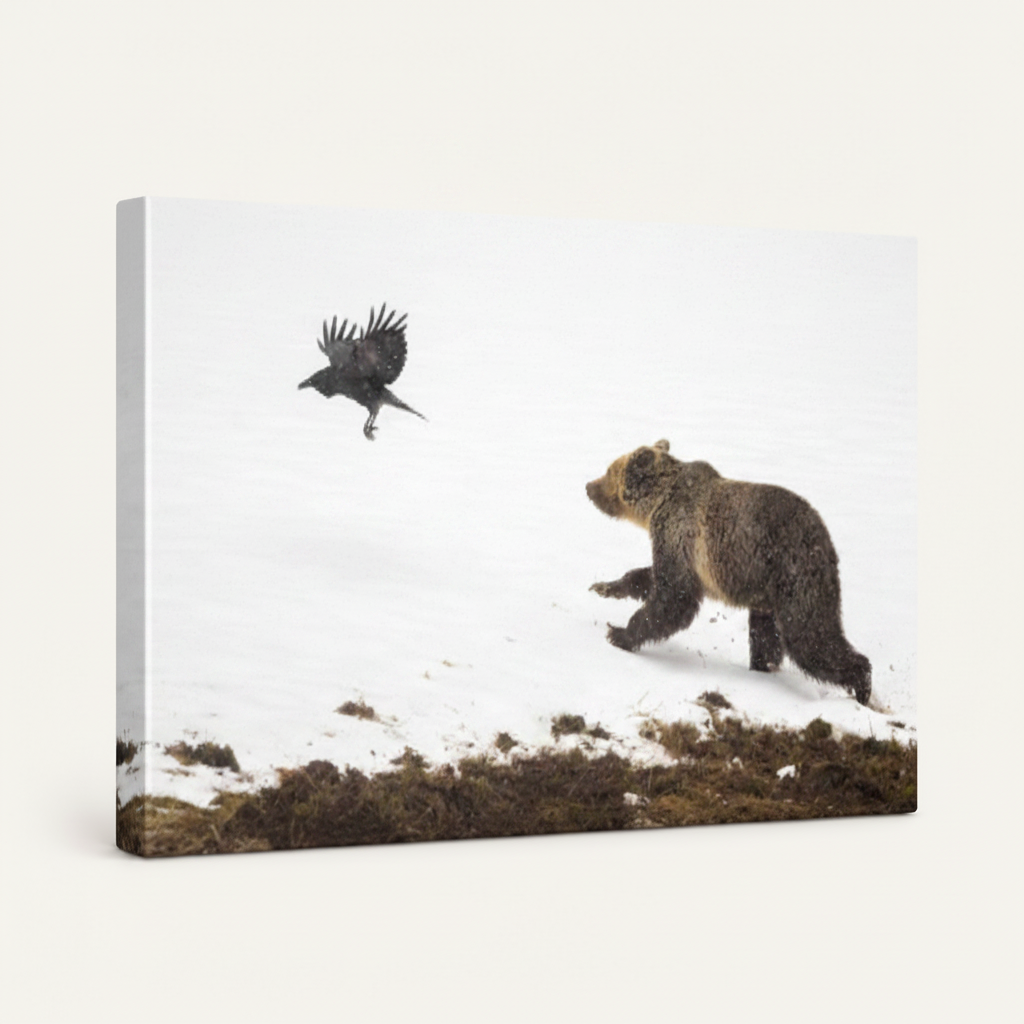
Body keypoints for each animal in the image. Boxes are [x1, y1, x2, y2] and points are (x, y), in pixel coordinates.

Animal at [586, 439, 872, 705]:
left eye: (609, 470)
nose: (588, 486)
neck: (659, 503)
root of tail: (826, 542)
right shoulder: (679, 551)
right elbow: (651, 577)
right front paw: (605, 587)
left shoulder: (681, 533)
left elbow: (675, 596)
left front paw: (619, 633)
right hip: (767, 590)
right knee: (766, 635)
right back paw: (761, 668)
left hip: (794, 574)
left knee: (810, 635)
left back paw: (862, 685)